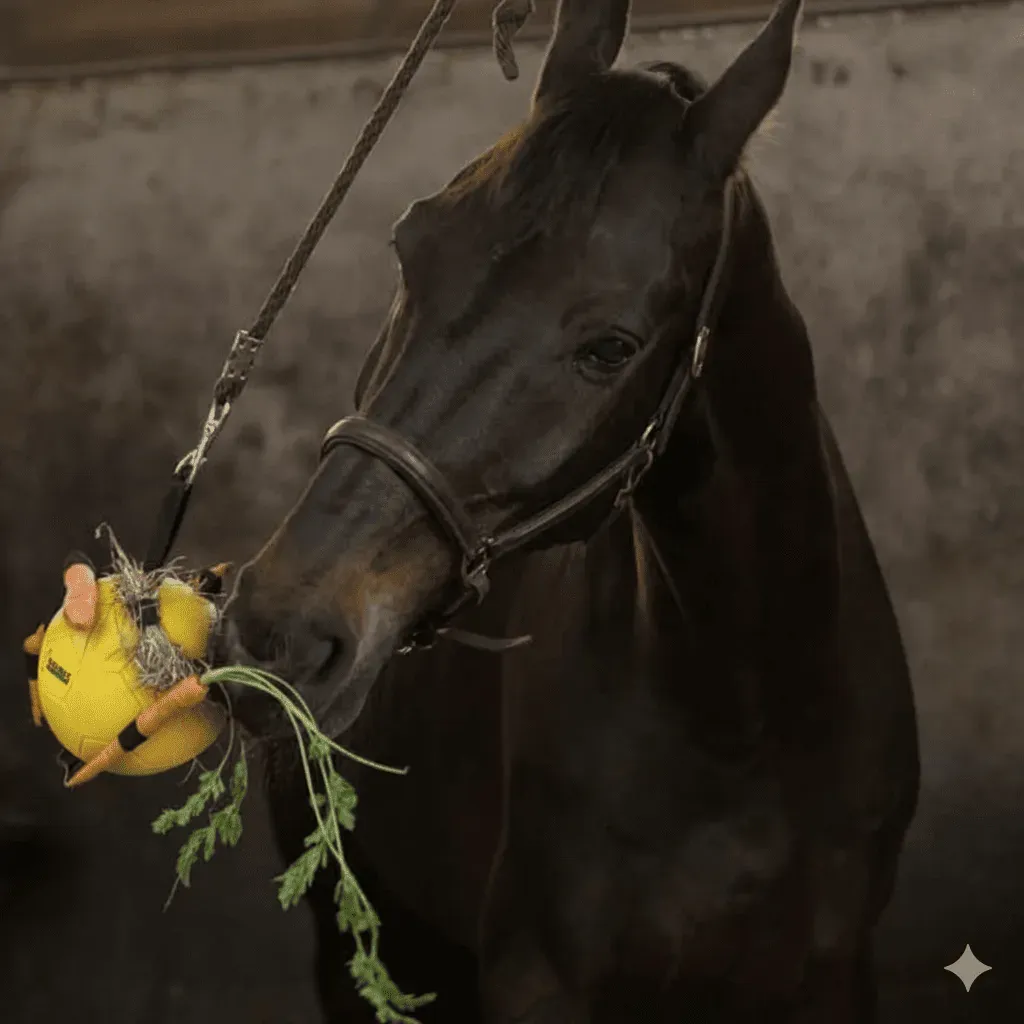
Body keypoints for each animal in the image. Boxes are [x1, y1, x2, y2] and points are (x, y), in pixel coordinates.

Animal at [217, 0, 920, 1020]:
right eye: (408, 246)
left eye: (610, 347)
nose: (276, 634)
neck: (741, 713)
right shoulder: (535, 976)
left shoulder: (832, 976)